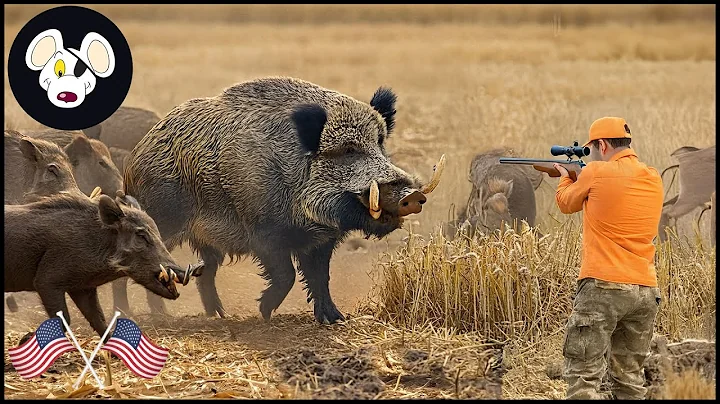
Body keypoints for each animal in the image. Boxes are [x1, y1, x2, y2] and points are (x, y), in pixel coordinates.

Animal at [4, 192, 185, 337]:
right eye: (140, 235)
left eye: (158, 232)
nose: (184, 273)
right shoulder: (46, 282)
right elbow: (64, 319)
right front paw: (24, 339)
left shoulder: (83, 288)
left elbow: (99, 319)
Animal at [123, 76, 445, 324]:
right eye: (347, 150)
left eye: (380, 144)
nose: (412, 194)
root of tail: (136, 155)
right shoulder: (263, 233)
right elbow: (286, 274)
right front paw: (264, 312)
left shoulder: (321, 241)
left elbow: (320, 278)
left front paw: (335, 320)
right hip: (162, 220)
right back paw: (147, 316)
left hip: (206, 241)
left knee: (206, 272)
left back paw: (217, 316)